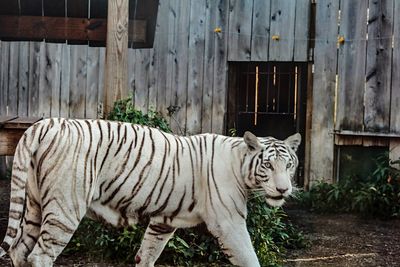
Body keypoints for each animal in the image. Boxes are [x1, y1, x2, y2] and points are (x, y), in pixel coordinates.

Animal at [0, 119, 300, 267]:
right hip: (65, 206)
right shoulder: (229, 223)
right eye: (268, 165)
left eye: (289, 165)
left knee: (19, 250)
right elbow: (249, 258)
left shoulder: (163, 222)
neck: (240, 164)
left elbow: (147, 254)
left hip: (35, 204)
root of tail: (44, 124)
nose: (283, 189)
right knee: (39, 256)